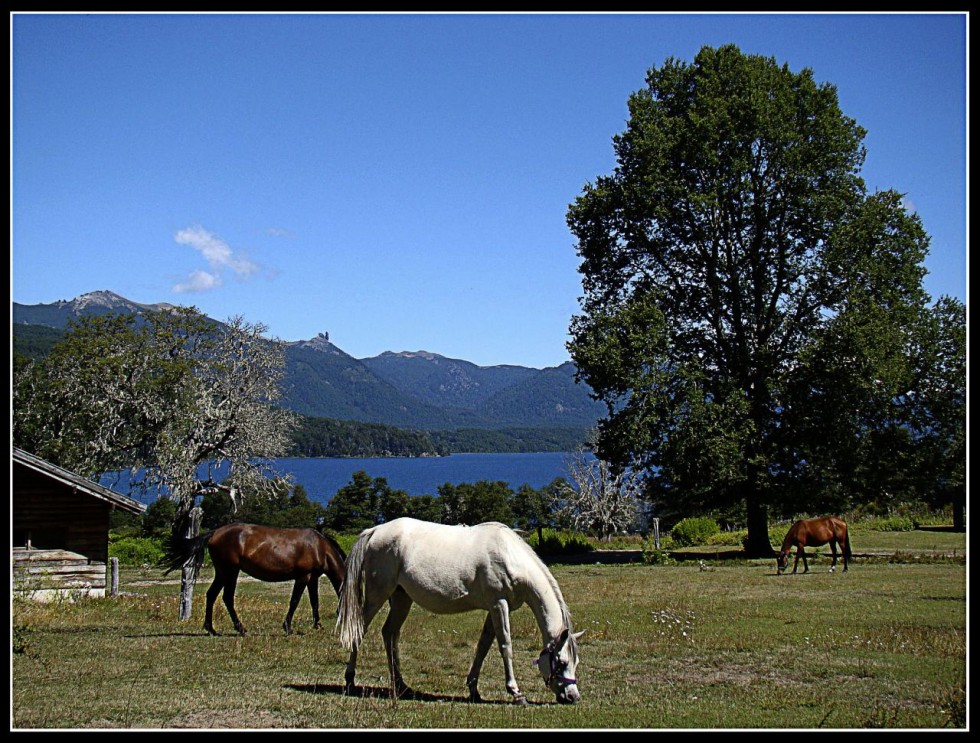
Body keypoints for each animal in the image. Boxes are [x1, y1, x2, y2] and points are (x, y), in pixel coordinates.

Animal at [162, 524, 344, 640]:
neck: (319, 546)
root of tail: (214, 533)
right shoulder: (303, 577)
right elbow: (294, 602)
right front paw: (288, 627)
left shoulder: (312, 578)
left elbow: (315, 602)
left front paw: (318, 625)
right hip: (230, 571)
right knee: (227, 598)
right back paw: (241, 629)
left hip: (222, 573)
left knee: (212, 595)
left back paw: (212, 629)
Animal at [336, 516, 580, 704]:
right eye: (562, 662)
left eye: (575, 662)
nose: (573, 697)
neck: (510, 556)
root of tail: (374, 531)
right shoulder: (499, 604)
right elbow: (505, 646)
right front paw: (516, 693)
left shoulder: (496, 608)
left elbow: (483, 646)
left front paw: (473, 689)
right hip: (377, 596)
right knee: (360, 630)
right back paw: (350, 680)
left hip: (401, 598)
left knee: (389, 633)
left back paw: (402, 686)